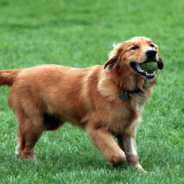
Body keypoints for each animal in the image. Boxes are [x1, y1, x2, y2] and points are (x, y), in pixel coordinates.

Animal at [0, 36, 164, 172]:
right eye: (134, 47)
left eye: (152, 45)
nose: (152, 53)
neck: (122, 86)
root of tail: (20, 72)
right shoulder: (96, 128)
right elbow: (118, 154)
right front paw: (113, 163)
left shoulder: (127, 129)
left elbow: (131, 154)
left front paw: (140, 171)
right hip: (34, 121)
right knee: (26, 145)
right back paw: (31, 162)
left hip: (50, 121)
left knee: (20, 139)